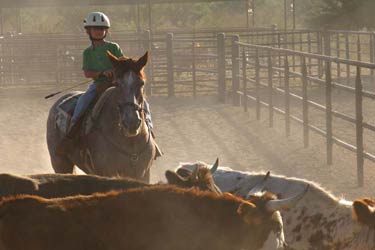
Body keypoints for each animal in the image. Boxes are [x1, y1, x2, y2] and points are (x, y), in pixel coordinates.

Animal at [46, 51, 156, 183]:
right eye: (117, 84)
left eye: (141, 83)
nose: (131, 122)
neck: (130, 142)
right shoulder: (106, 171)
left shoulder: (143, 173)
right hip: (59, 162)